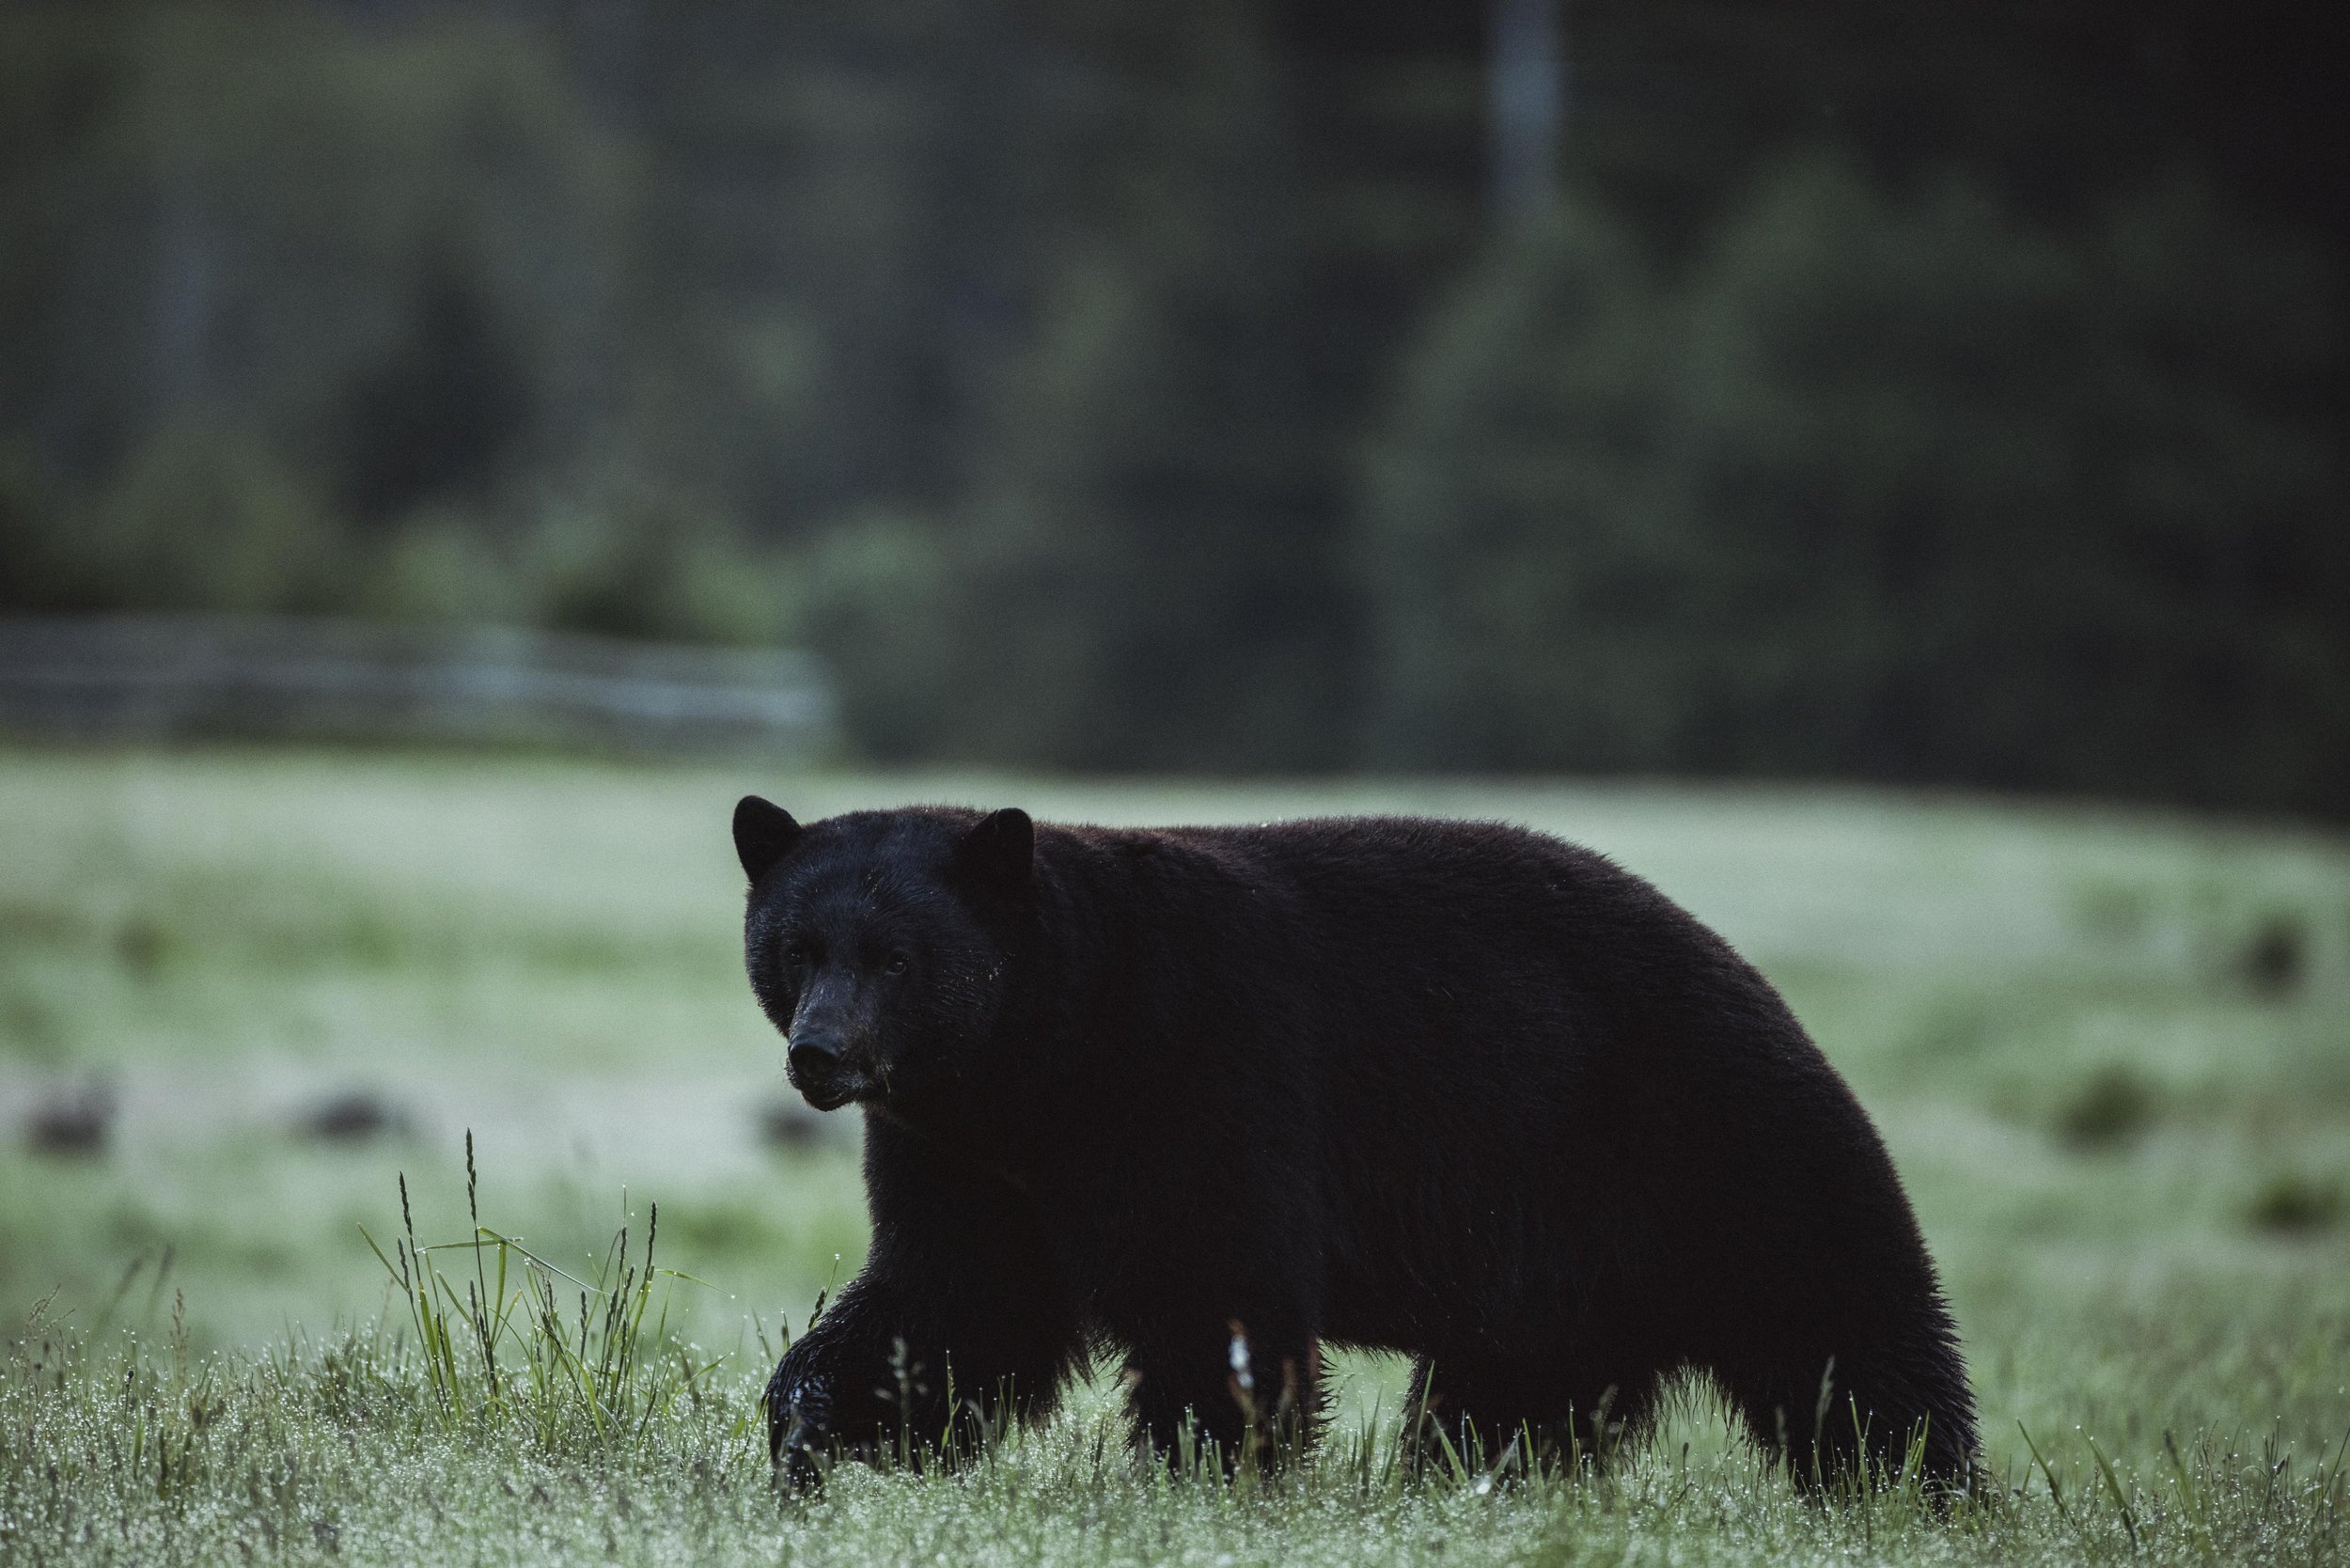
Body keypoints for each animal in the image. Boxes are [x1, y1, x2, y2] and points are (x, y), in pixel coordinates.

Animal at [738, 804, 1983, 1495]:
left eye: (897, 956)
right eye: (797, 947)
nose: (820, 1057)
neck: (1048, 1059)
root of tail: (1770, 998)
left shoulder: (1203, 1073)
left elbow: (1214, 1299)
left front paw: (1198, 1480)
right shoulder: (965, 1155)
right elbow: (954, 1308)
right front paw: (809, 1431)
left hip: (1722, 1154)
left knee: (1853, 1350)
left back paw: (1919, 1500)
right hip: (1558, 1283)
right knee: (1509, 1408)